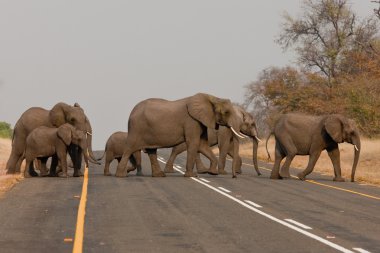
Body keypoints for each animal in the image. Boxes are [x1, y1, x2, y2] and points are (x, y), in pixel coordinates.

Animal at [114, 93, 248, 178]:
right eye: (226, 112)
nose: (234, 177)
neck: (213, 98)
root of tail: (132, 111)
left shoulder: (201, 121)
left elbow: (202, 145)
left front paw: (212, 173)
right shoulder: (191, 121)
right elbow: (194, 143)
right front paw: (192, 176)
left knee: (152, 151)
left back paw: (159, 175)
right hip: (136, 128)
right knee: (129, 148)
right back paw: (120, 175)